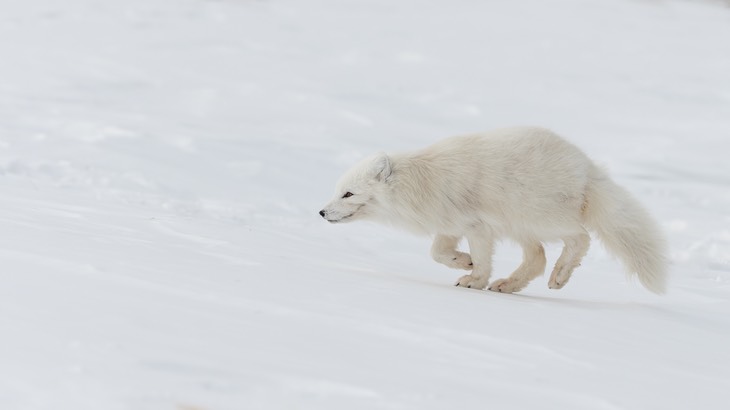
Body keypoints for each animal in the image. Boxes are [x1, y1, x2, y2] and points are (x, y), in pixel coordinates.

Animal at [318, 126, 664, 294]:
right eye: (337, 191)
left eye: (348, 193)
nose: (321, 213)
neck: (423, 183)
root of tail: (586, 166)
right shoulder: (450, 224)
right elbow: (437, 253)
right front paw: (463, 262)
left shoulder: (477, 226)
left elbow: (480, 258)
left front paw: (474, 280)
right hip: (520, 227)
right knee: (537, 258)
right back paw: (508, 285)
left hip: (536, 217)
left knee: (580, 238)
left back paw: (559, 276)